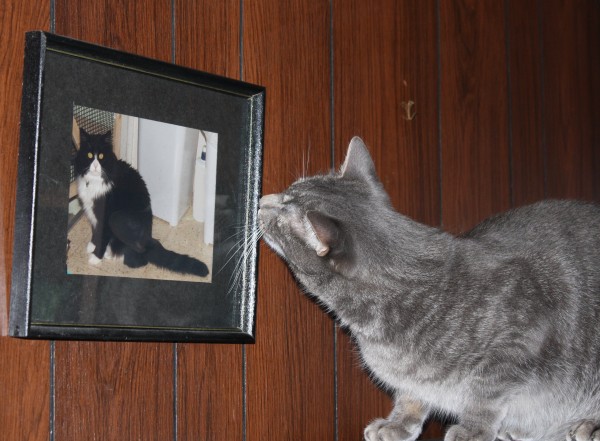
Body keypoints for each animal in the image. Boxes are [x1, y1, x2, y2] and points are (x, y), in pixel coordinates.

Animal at [75, 127, 209, 276]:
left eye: (101, 156)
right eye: (89, 155)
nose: (94, 166)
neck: (94, 180)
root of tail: (150, 240)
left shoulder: (105, 215)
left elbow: (102, 236)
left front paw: (96, 257)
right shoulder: (92, 211)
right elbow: (95, 231)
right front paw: (92, 245)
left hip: (117, 217)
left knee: (139, 258)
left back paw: (111, 255)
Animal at [258, 137, 600, 440]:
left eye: (284, 210)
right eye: (288, 190)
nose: (261, 200)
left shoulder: (518, 340)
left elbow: (485, 396)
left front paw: (473, 430)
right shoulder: (411, 378)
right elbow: (411, 396)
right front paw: (397, 424)